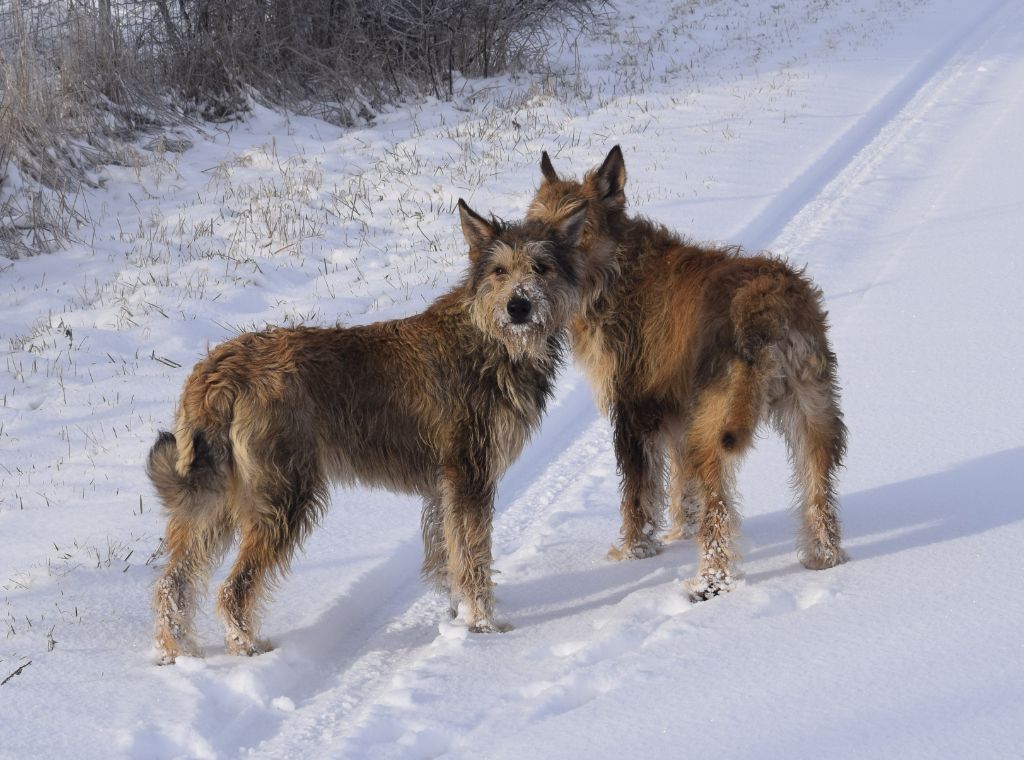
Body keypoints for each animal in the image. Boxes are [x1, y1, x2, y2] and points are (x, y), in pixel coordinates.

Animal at [148, 199, 589, 663]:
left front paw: (458, 617)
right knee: (234, 588)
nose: (518, 307)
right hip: (282, 494)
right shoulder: (470, 477)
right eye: (500, 271)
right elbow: (473, 558)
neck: (489, 336)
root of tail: (222, 368)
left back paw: (176, 651)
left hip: (213, 498)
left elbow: (449, 555)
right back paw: (246, 646)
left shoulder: (445, 488)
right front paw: (484, 625)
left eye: (541, 267)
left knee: (174, 584)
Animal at [528, 147, 847, 602]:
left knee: (720, 509)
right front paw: (680, 533)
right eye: (537, 225)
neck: (616, 269)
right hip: (812, 409)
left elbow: (639, 493)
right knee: (817, 486)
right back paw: (824, 556)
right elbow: (683, 487)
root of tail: (766, 306)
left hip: (718, 425)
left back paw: (711, 580)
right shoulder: (680, 413)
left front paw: (635, 551)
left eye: (578, 227)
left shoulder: (635, 412)